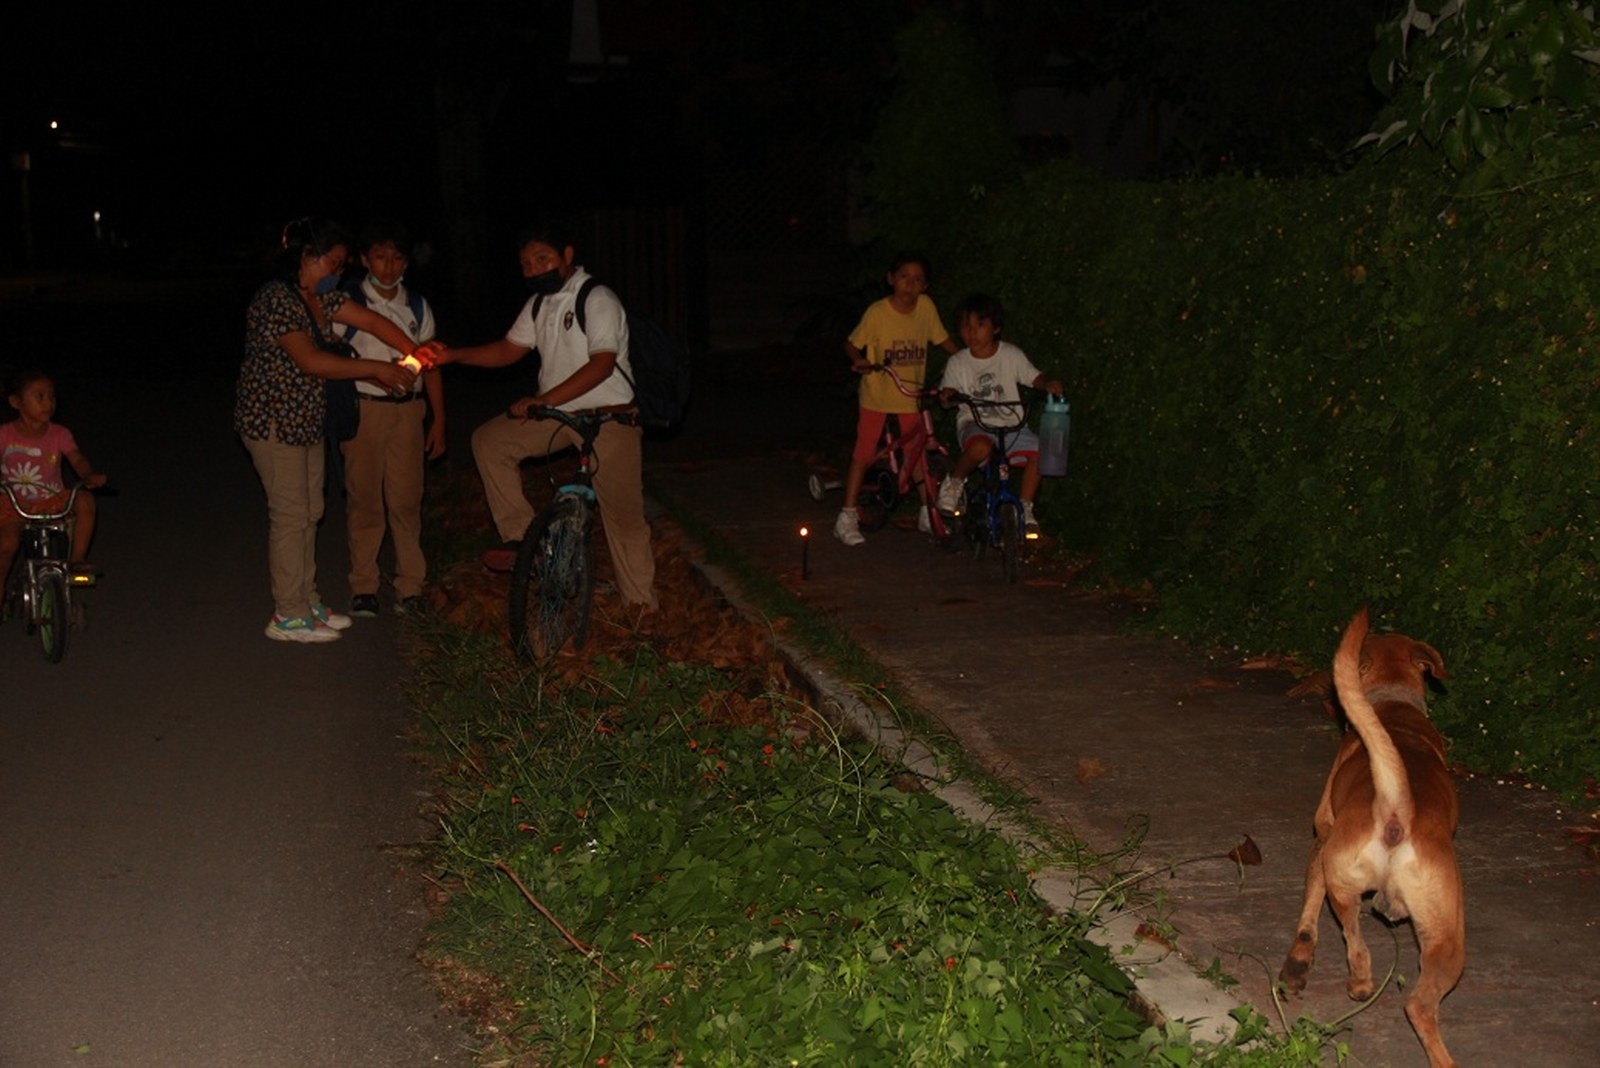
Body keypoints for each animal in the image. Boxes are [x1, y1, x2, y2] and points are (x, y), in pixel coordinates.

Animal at [1280, 607, 1465, 1068]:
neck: (1393, 701)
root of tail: (1398, 808)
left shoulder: (1321, 835)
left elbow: (1307, 919)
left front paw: (1297, 966)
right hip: (1447, 936)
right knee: (1419, 1005)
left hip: (1342, 880)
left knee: (1355, 940)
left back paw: (1361, 984)